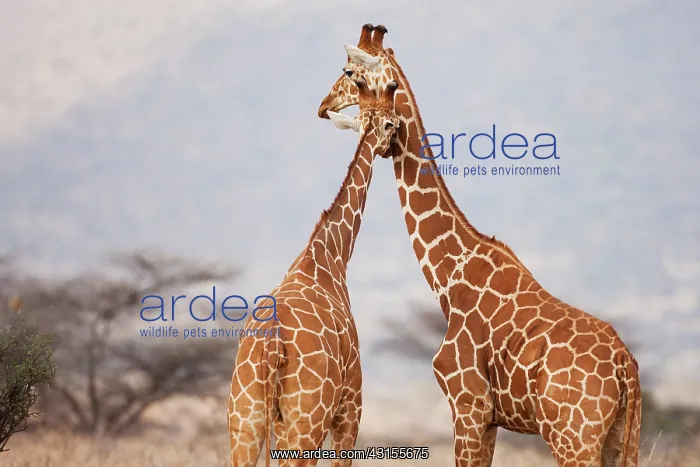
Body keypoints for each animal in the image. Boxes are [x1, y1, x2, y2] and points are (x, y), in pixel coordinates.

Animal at [227, 77, 400, 467]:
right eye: (390, 123)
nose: (395, 143)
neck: (330, 255)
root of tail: (270, 347)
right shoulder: (350, 407)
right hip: (306, 423)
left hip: (245, 422)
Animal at [318, 24, 642, 467]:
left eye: (349, 72)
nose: (323, 105)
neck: (448, 278)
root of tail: (627, 367)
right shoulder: (489, 420)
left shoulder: (468, 405)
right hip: (622, 437)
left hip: (574, 438)